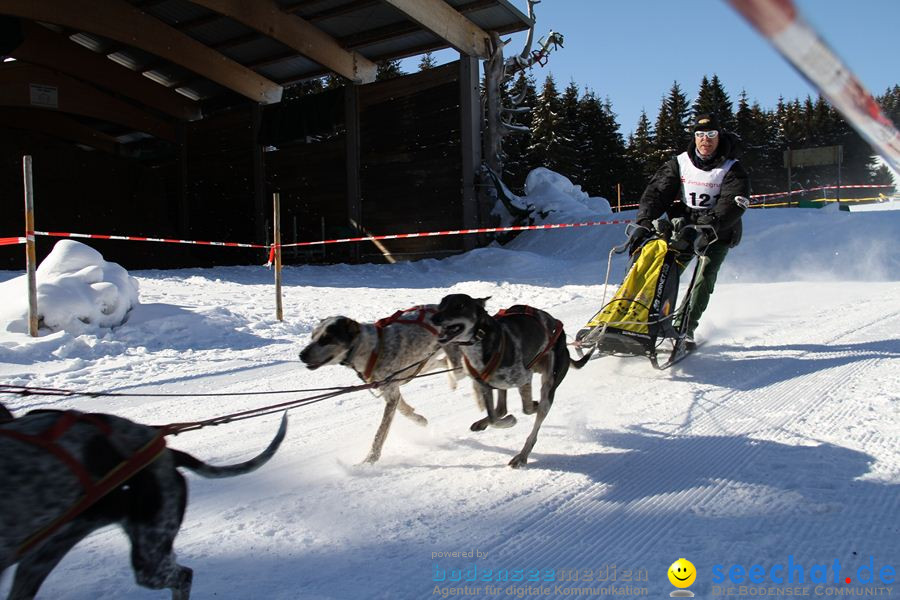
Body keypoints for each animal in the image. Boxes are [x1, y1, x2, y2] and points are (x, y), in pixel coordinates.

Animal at [300, 304, 464, 464]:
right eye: (312, 336)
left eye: (326, 338)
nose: (301, 355)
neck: (370, 349)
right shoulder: (389, 389)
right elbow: (404, 410)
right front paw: (419, 419)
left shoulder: (391, 393)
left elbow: (380, 433)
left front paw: (369, 460)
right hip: (424, 364)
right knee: (444, 363)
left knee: (457, 367)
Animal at [428, 296, 592, 468]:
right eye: (441, 305)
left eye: (459, 305)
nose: (434, 319)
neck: (482, 338)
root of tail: (564, 342)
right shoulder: (484, 386)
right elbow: (494, 418)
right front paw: (505, 420)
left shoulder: (525, 378)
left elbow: (525, 409)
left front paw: (513, 419)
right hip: (503, 384)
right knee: (501, 409)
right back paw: (485, 423)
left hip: (548, 384)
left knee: (536, 418)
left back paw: (522, 455)